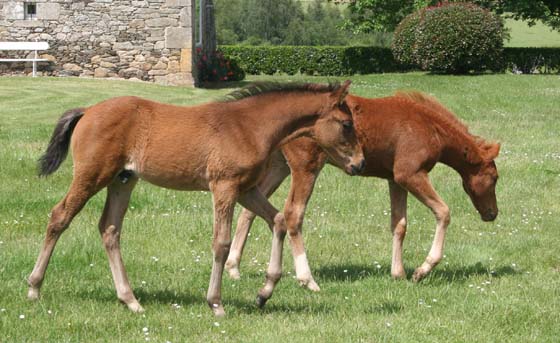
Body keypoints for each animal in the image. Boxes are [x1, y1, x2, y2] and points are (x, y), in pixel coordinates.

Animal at [28, 81, 366, 318]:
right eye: (347, 124)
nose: (359, 163)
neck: (248, 126)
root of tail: (87, 110)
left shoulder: (246, 189)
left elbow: (279, 220)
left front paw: (264, 292)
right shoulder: (224, 187)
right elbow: (221, 243)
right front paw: (215, 303)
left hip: (123, 180)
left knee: (109, 228)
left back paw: (131, 300)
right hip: (93, 175)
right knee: (59, 217)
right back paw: (34, 288)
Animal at [225, 92, 500, 290]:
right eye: (495, 178)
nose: (492, 214)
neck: (431, 128)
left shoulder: (395, 179)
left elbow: (399, 224)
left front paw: (398, 273)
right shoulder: (410, 174)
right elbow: (443, 212)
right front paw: (422, 270)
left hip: (279, 166)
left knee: (251, 211)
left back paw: (233, 267)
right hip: (306, 166)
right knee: (292, 214)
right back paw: (307, 279)